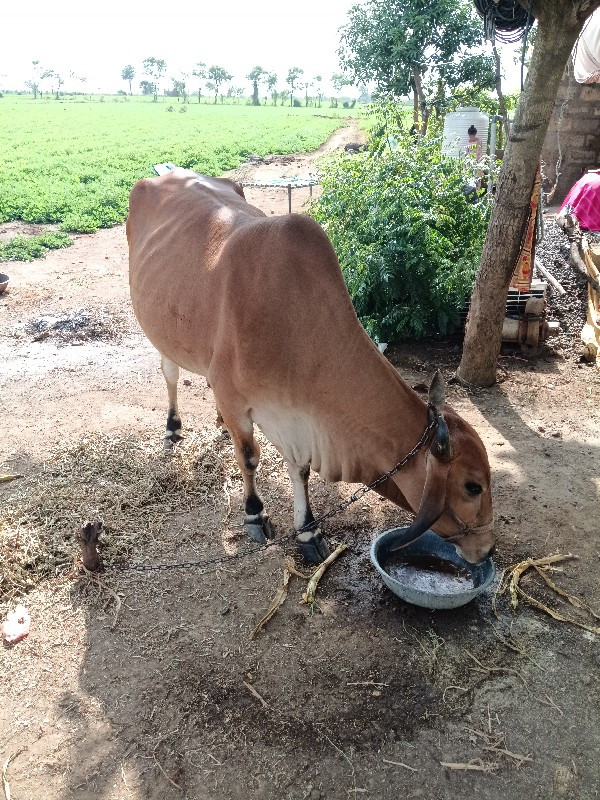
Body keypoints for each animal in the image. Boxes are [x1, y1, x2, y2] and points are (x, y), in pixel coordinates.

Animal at [125, 170, 492, 564]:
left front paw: (308, 531)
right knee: (171, 373)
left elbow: (298, 470)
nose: (487, 549)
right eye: (472, 486)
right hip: (159, 332)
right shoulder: (237, 397)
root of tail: (165, 175)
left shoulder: (297, 418)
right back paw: (172, 428)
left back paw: (220, 424)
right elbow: (249, 458)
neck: (296, 325)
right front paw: (255, 515)